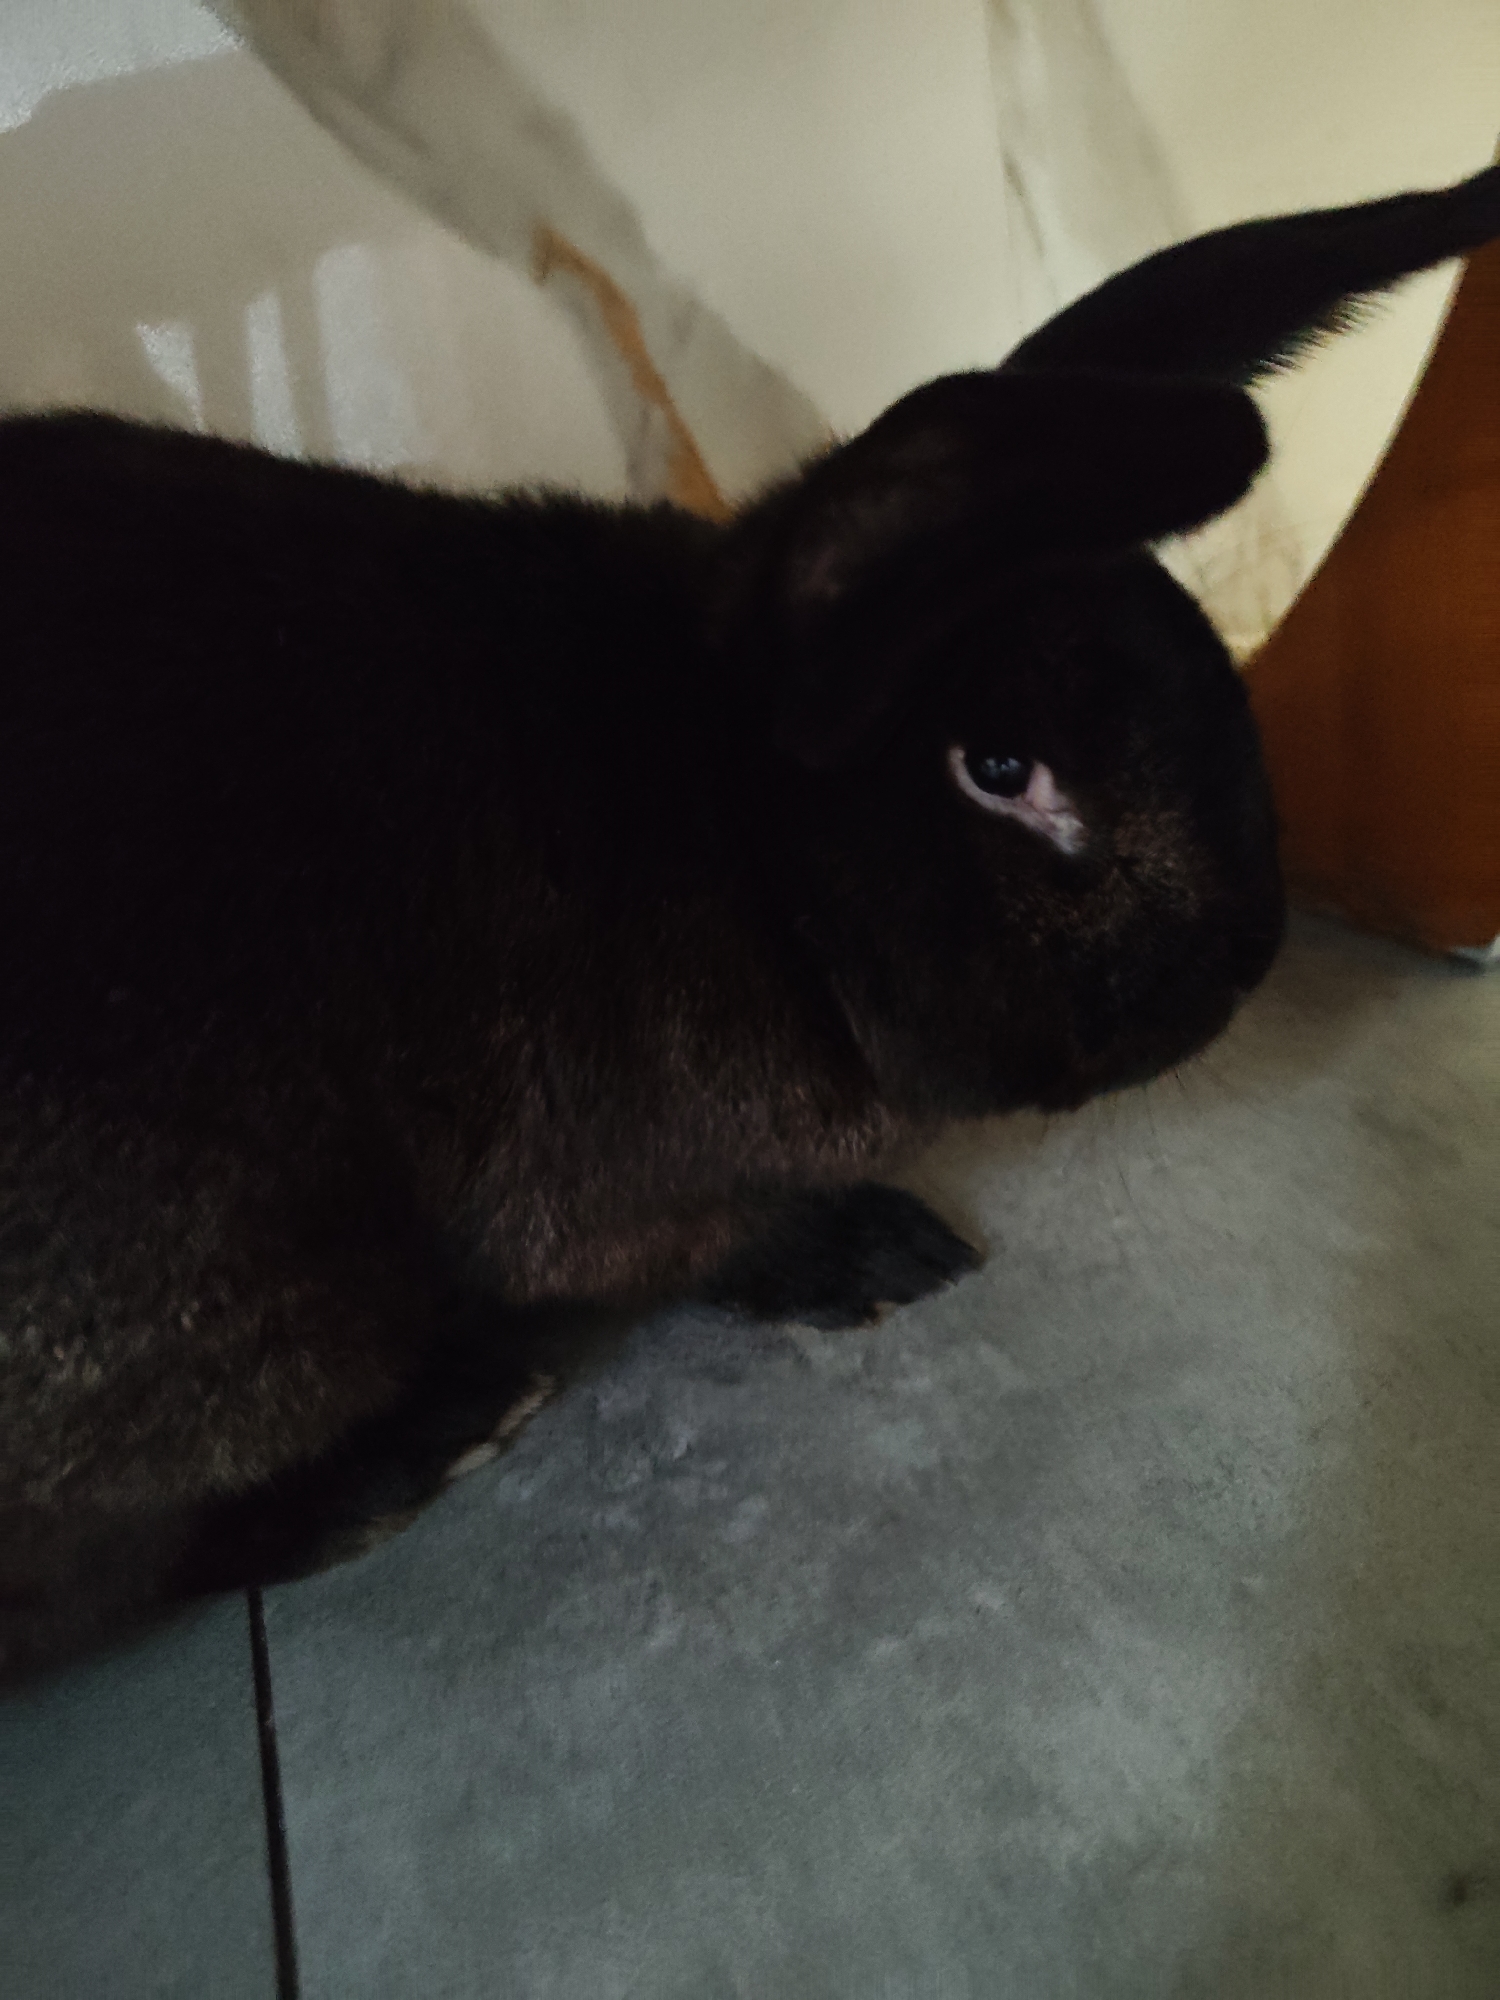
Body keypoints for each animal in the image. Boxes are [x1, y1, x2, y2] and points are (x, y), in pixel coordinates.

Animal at [4, 162, 1500, 1682]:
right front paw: (881, 1256)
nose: (1251, 955)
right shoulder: (606, 1201)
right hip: (270, 1326)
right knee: (127, 1572)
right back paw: (425, 1444)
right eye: (1002, 768)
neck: (749, 846)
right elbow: (713, 1242)